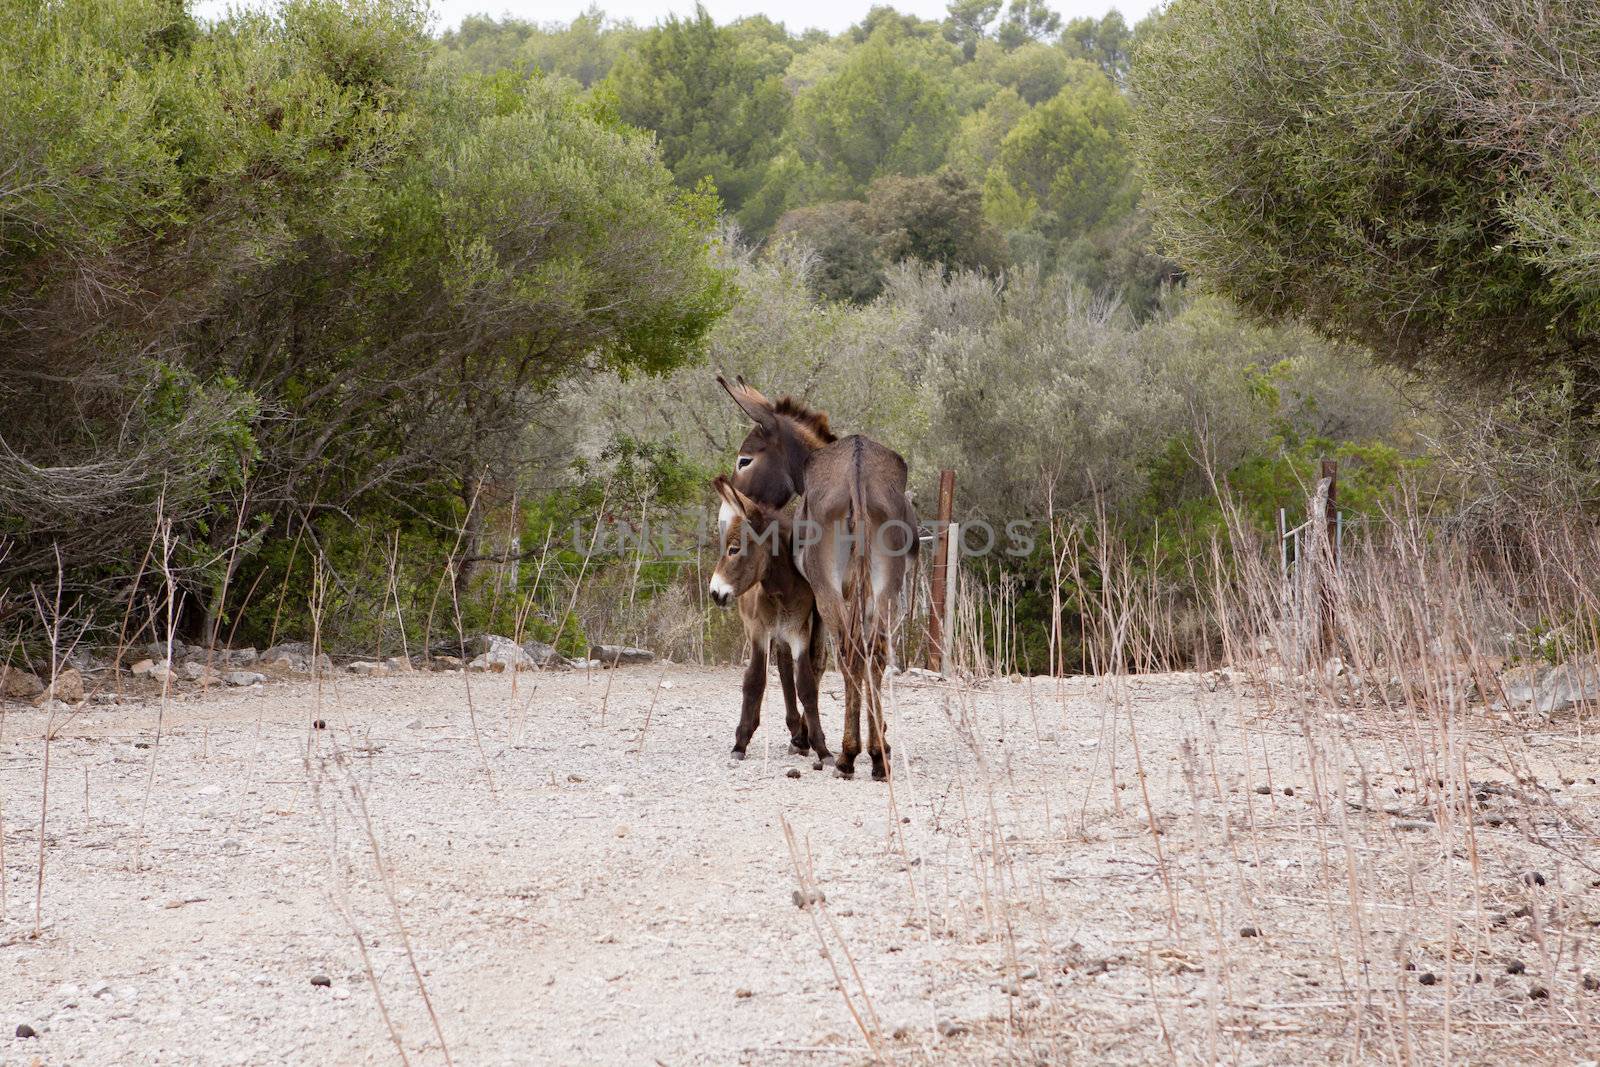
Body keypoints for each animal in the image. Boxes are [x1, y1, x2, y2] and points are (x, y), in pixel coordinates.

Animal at [707, 476, 832, 767]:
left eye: (734, 549)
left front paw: (821, 748)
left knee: (785, 671)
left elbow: (806, 686)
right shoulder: (758, 632)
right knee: (764, 674)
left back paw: (796, 731)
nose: (715, 593)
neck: (781, 589)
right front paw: (740, 742)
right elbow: (753, 680)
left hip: (786, 634)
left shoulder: (799, 631)